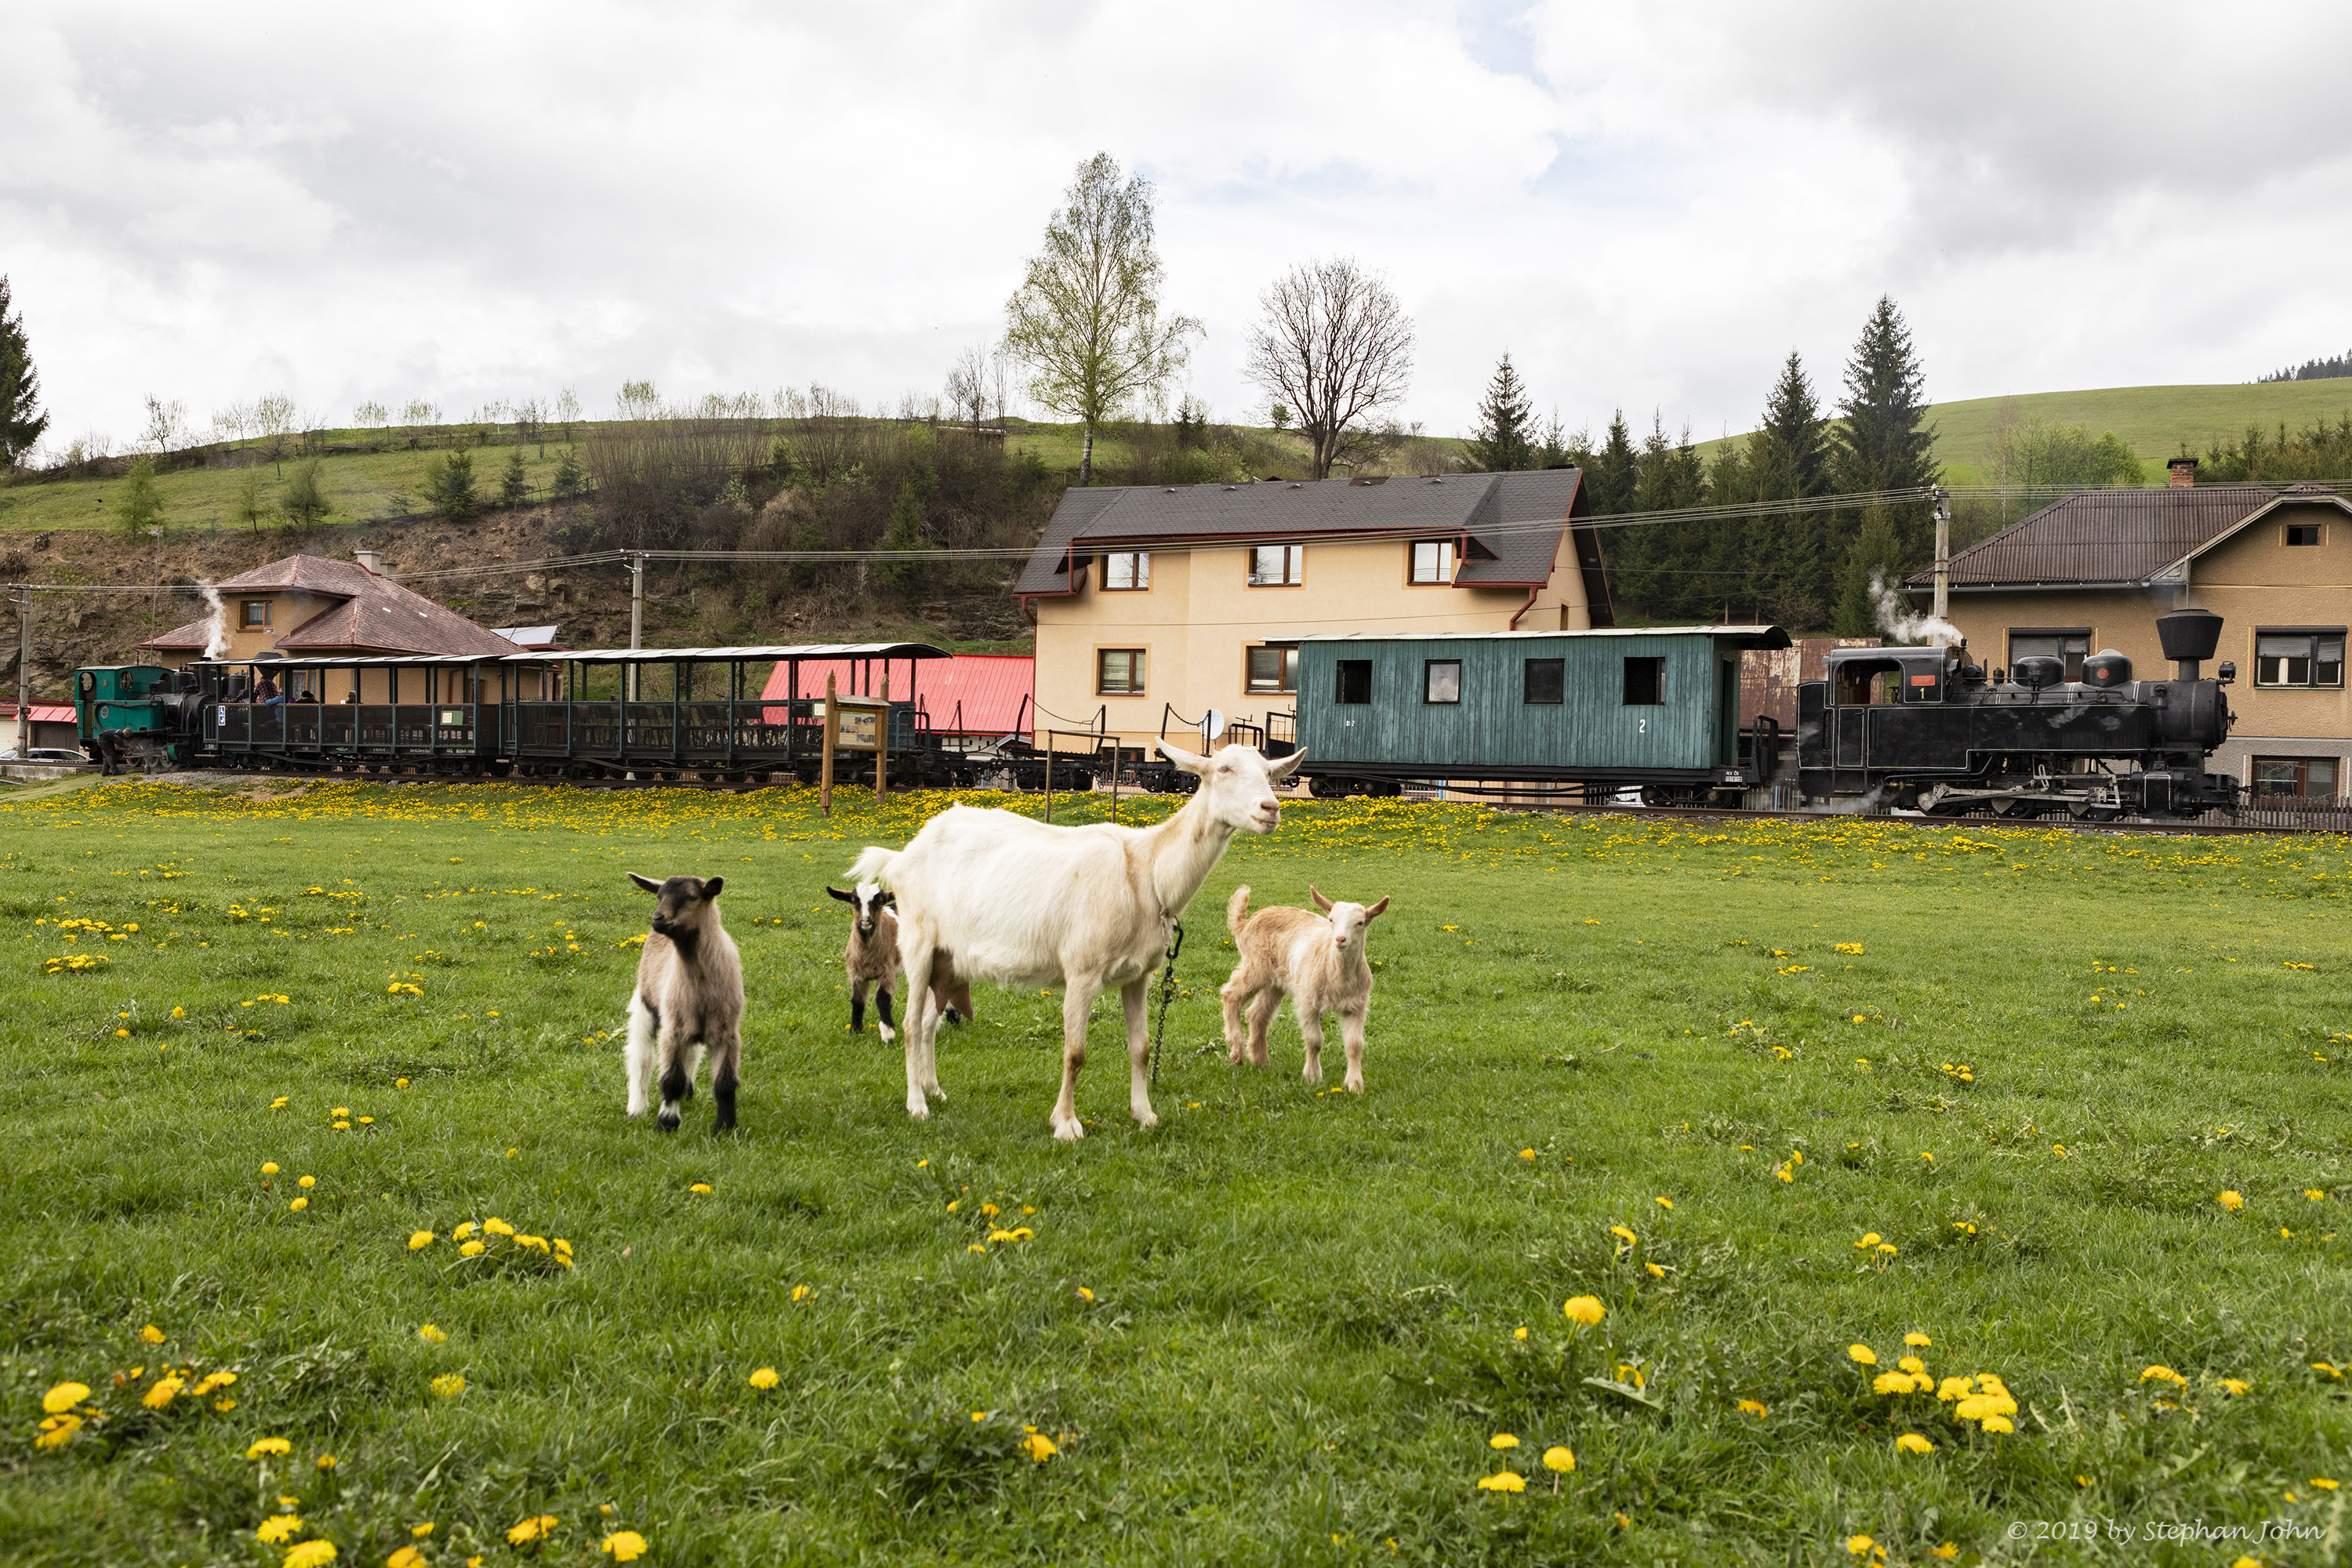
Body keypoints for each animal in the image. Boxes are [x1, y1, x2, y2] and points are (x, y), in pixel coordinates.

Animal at [847, 738, 1308, 1142]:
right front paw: (1066, 1125)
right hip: (919, 940)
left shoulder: (1137, 976)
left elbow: (1141, 1048)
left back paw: (934, 1090)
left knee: (928, 1022)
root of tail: (902, 857)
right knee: (910, 1024)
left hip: (948, 959)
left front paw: (1144, 1114)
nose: (1271, 809)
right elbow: (1075, 1053)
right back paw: (917, 1105)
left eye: (1269, 773)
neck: (1146, 870)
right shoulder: (1082, 970)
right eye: (1223, 769)